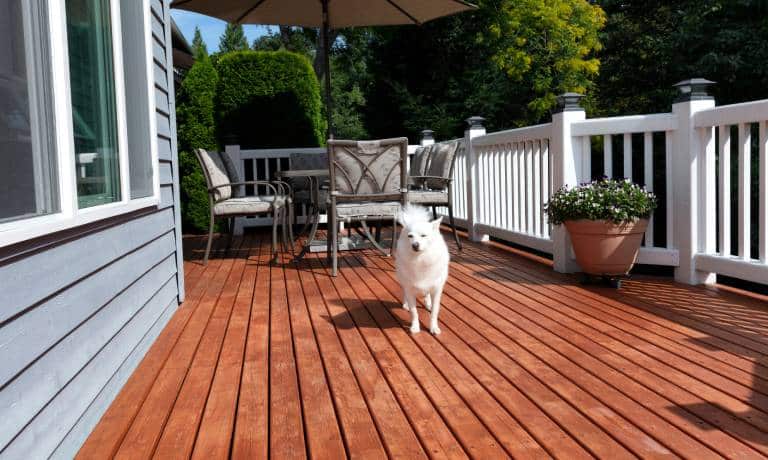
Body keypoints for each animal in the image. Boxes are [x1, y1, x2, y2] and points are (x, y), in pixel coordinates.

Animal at [396, 205, 450, 334]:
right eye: (410, 236)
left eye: (423, 236)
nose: (415, 245)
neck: (420, 259)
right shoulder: (409, 288)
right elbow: (414, 312)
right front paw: (415, 327)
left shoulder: (436, 289)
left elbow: (435, 311)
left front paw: (433, 327)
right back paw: (405, 303)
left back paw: (428, 303)